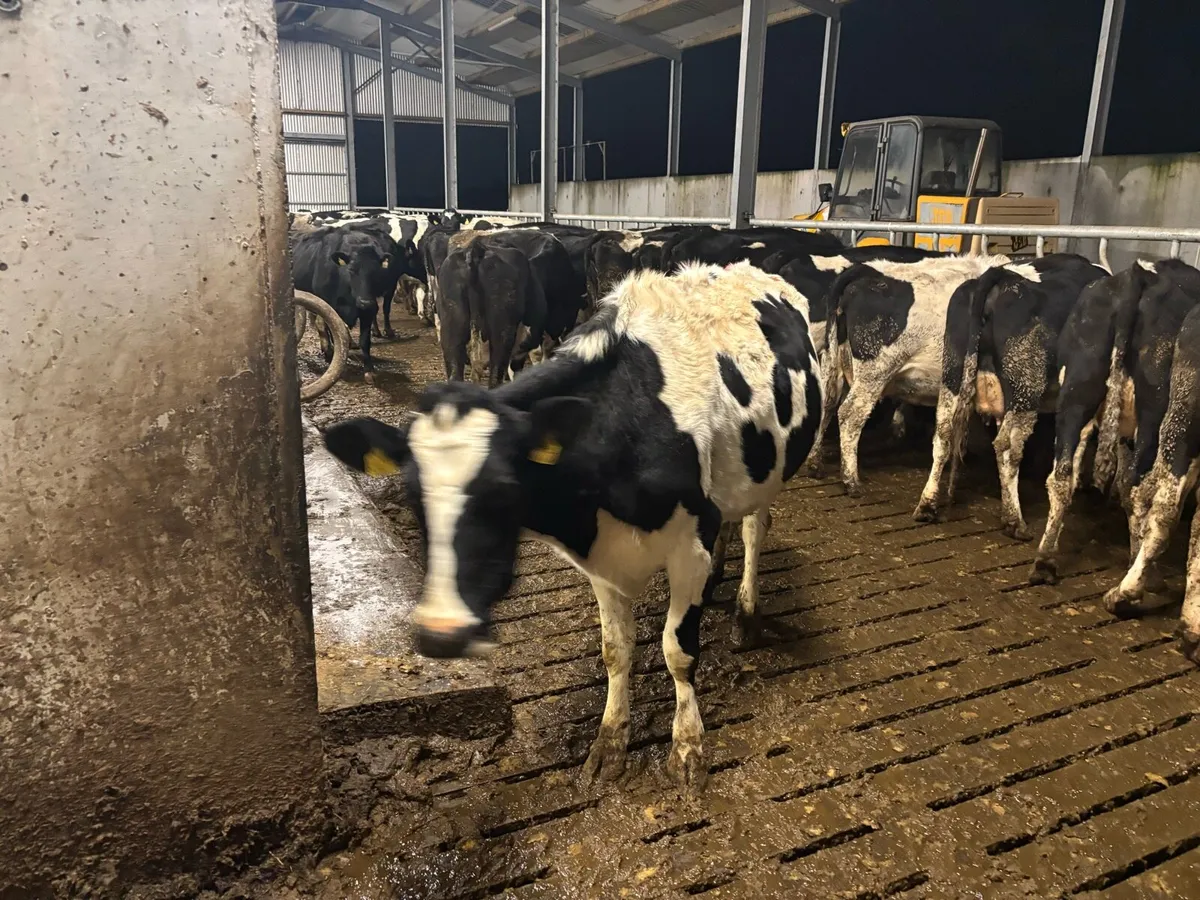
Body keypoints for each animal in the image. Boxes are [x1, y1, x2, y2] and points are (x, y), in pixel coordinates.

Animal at [291, 220, 398, 384]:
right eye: (352, 269)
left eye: (377, 271)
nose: (365, 302)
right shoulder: (330, 307)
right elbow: (334, 331)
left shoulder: (368, 311)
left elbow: (364, 341)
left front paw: (369, 371)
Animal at [322, 261, 824, 794]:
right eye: (413, 496)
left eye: (503, 490)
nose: (441, 632)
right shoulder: (604, 562)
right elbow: (615, 651)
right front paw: (609, 741)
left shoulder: (691, 544)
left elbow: (678, 651)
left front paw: (687, 746)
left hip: (774, 471)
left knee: (755, 528)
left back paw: (746, 612)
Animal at [811, 255, 1010, 496]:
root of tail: (866, 272)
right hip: (875, 371)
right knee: (850, 415)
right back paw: (851, 481)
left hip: (835, 361)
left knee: (827, 403)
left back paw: (815, 462)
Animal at [914, 254, 1108, 537]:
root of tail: (999, 276)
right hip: (1024, 387)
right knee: (1008, 446)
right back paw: (1014, 520)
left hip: (953, 373)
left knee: (944, 433)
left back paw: (927, 505)